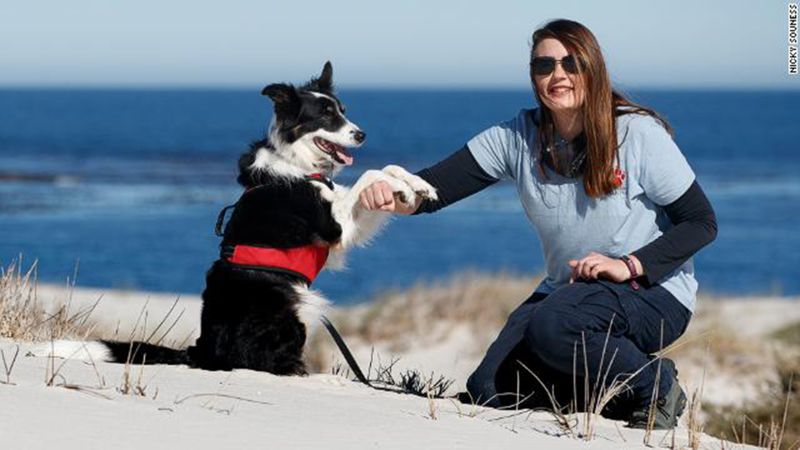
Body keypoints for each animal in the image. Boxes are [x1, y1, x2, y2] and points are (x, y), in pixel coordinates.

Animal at [39, 61, 434, 374]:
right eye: (325, 115)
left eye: (343, 110)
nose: (361, 134)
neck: (297, 165)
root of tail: (202, 350)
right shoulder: (333, 226)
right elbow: (371, 173)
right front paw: (404, 187)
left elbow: (388, 167)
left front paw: (418, 186)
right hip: (287, 310)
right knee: (266, 362)